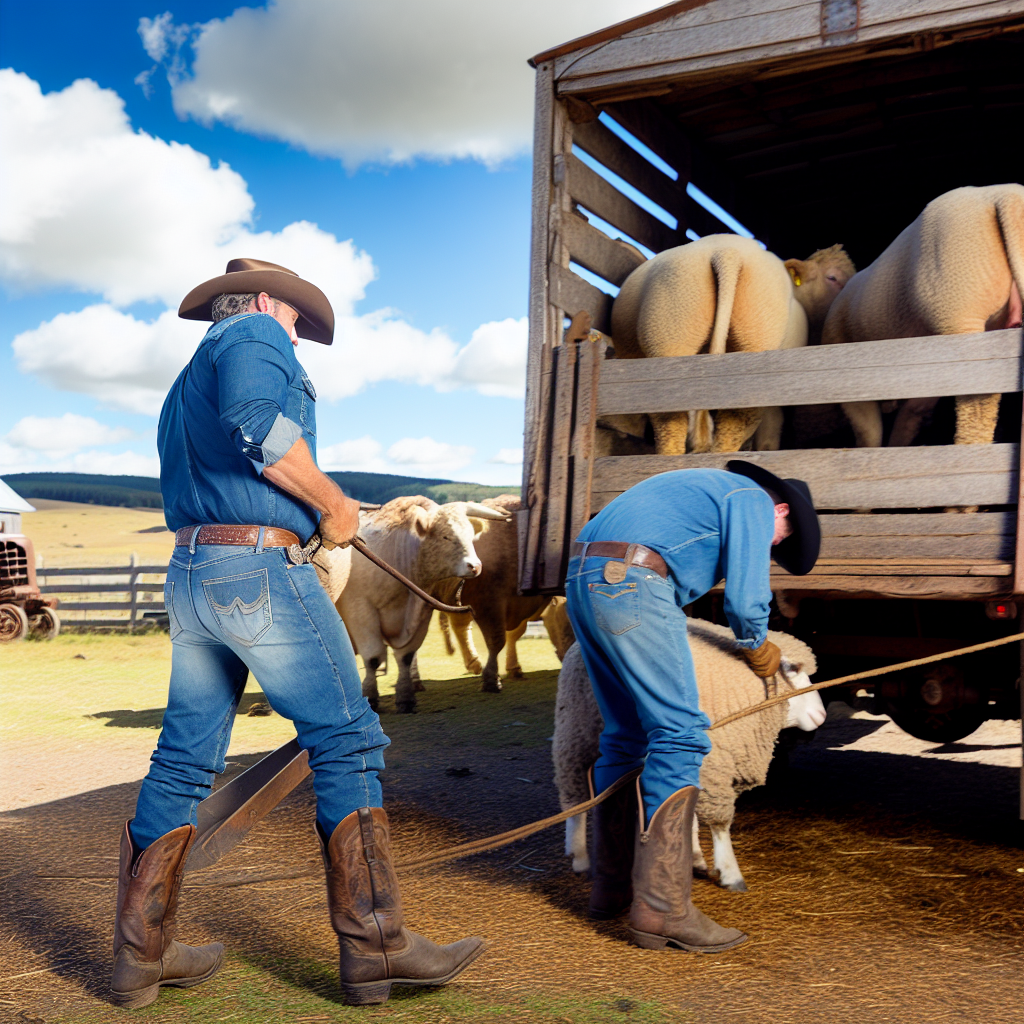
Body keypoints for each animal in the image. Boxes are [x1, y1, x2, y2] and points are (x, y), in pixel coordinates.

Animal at [335, 495, 512, 712]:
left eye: (471, 535)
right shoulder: (361, 610)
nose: (475, 566)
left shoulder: (423, 610)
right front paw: (371, 697)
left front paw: (406, 697)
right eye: (445, 537)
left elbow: (406, 656)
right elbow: (373, 658)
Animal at [552, 618, 823, 892]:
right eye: (794, 669)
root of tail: (577, 645)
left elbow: (685, 810)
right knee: (575, 798)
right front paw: (730, 872)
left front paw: (694, 858)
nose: (821, 715)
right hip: (574, 734)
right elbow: (718, 824)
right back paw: (580, 857)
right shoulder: (713, 766)